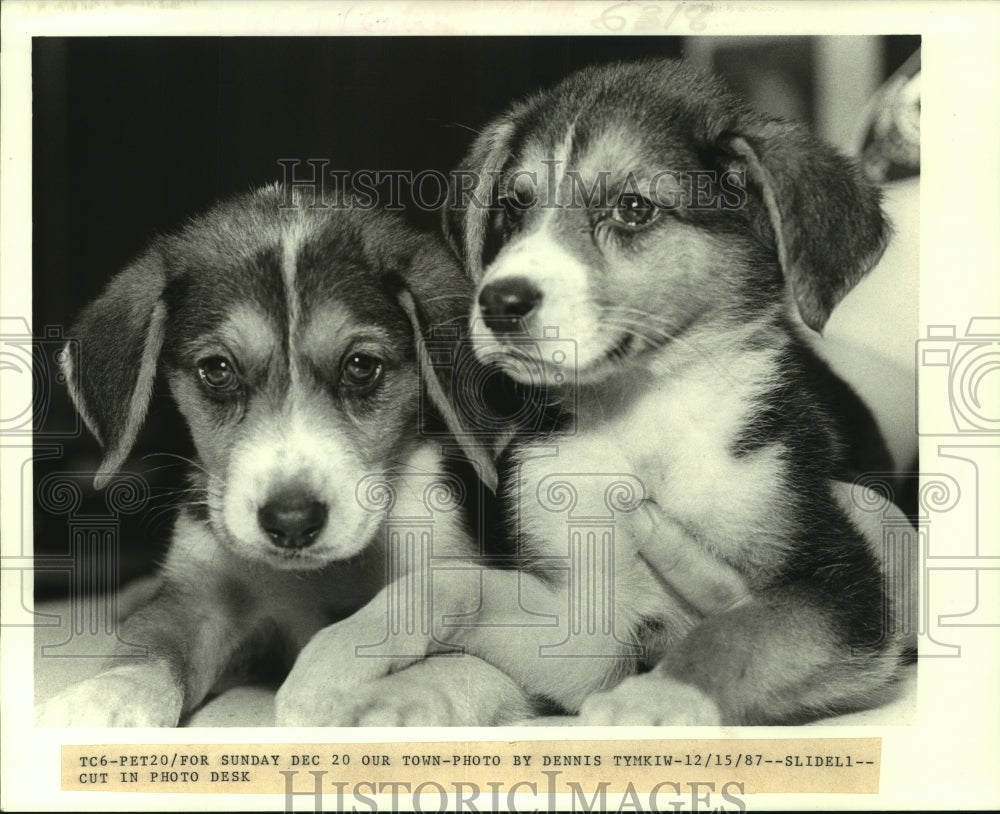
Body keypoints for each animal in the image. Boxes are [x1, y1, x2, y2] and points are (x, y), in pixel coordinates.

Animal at [37, 188, 532, 728]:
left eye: (361, 366)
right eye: (217, 370)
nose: (292, 522)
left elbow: (463, 663)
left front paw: (389, 707)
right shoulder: (202, 598)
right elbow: (151, 647)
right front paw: (102, 699)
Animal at [282, 60, 916, 728]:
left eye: (633, 208)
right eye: (515, 207)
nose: (498, 302)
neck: (639, 413)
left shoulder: (839, 587)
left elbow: (735, 632)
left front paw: (654, 701)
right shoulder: (591, 630)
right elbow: (450, 583)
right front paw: (334, 658)